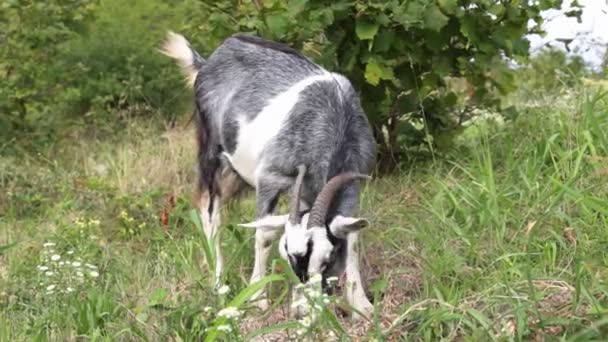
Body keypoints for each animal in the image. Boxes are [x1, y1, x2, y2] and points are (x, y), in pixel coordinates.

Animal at [164, 30, 378, 320]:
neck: (333, 121)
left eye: (328, 259)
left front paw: (360, 304)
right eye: (288, 255)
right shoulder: (270, 177)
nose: (301, 311)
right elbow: (264, 234)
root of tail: (209, 60)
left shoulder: (353, 176)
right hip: (211, 153)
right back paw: (218, 284)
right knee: (210, 210)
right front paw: (257, 298)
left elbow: (353, 238)